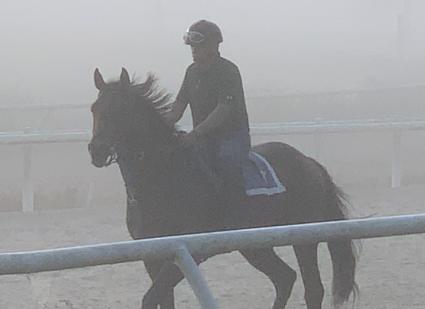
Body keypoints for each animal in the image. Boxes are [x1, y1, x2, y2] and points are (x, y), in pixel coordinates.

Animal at [88, 68, 356, 308]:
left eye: (120, 109)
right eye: (94, 108)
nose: (96, 150)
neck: (163, 180)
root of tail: (310, 163)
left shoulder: (189, 252)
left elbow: (150, 298)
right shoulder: (152, 255)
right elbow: (162, 299)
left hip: (304, 238)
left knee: (312, 289)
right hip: (256, 245)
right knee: (284, 278)